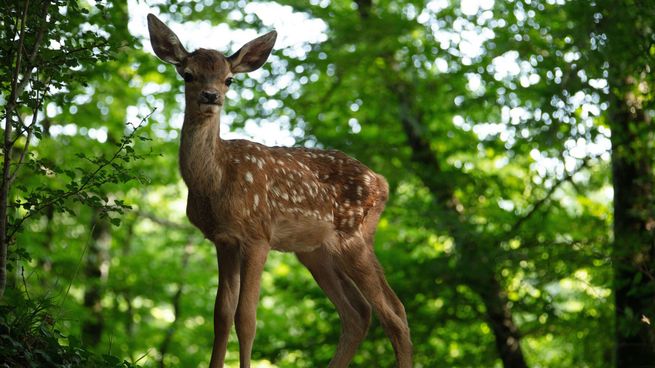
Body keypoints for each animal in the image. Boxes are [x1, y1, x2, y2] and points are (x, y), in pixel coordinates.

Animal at [149, 12, 412, 366]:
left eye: (229, 79)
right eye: (188, 74)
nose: (210, 96)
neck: (215, 181)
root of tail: (382, 182)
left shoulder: (258, 234)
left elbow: (246, 317)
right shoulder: (224, 239)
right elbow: (221, 315)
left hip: (354, 236)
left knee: (394, 311)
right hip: (314, 251)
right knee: (358, 313)